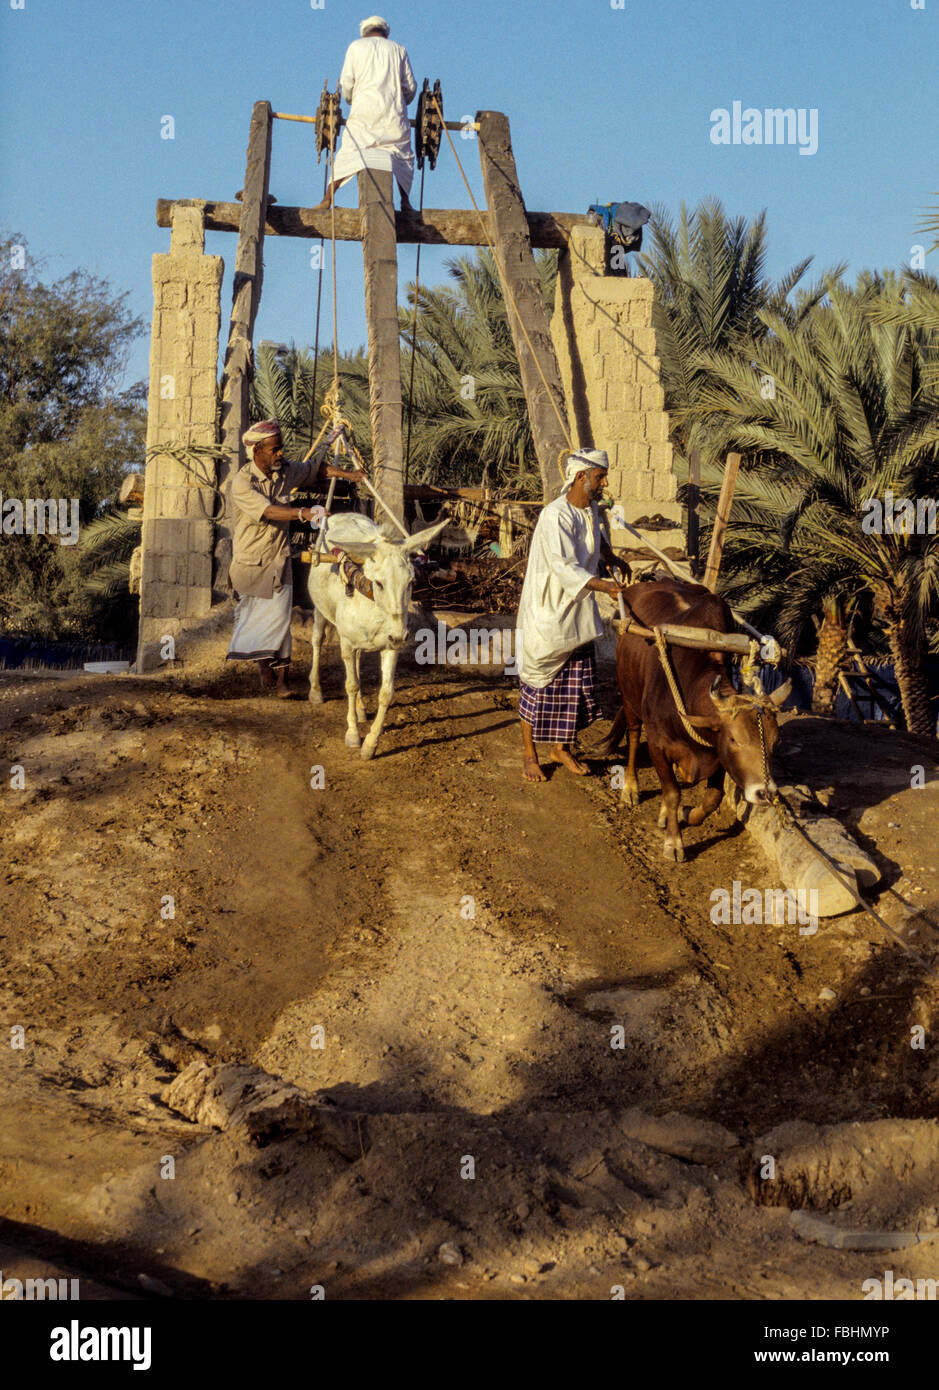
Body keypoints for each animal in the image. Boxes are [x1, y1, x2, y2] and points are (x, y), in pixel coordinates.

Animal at [605, 575, 788, 856]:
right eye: (735, 740)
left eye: (774, 742)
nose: (764, 793)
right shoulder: (658, 746)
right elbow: (672, 793)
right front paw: (674, 842)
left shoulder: (717, 755)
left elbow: (712, 799)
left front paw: (686, 814)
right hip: (628, 697)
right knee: (634, 737)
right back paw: (630, 788)